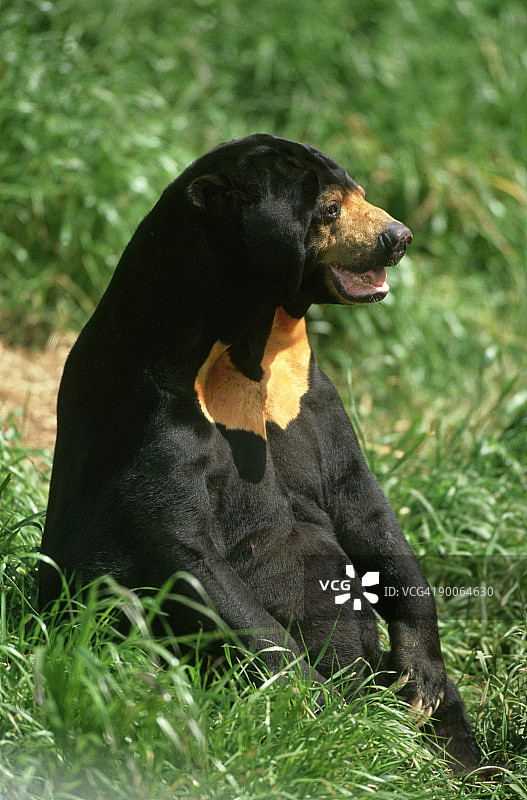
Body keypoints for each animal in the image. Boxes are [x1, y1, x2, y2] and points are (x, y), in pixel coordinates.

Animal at [39, 134, 483, 773]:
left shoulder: (311, 395)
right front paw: (326, 713)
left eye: (360, 194)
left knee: (449, 708)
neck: (248, 343)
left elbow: (364, 504)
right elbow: (182, 547)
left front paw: (417, 674)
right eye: (329, 210)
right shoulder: (149, 407)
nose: (398, 236)